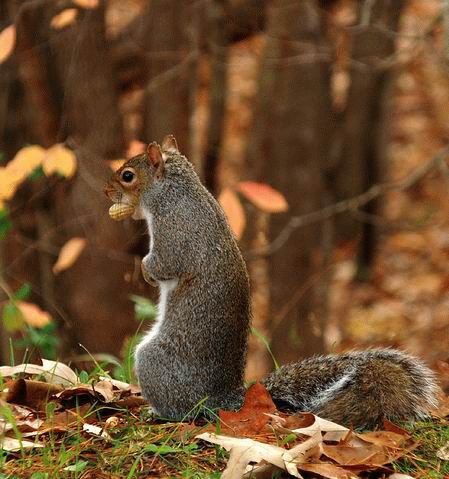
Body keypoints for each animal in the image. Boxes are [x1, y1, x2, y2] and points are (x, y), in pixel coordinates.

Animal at [105, 136, 438, 432]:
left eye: (128, 175)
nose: (107, 191)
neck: (174, 190)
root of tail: (220, 400)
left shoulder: (175, 230)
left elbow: (166, 262)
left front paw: (146, 271)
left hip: (154, 360)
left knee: (181, 410)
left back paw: (158, 412)